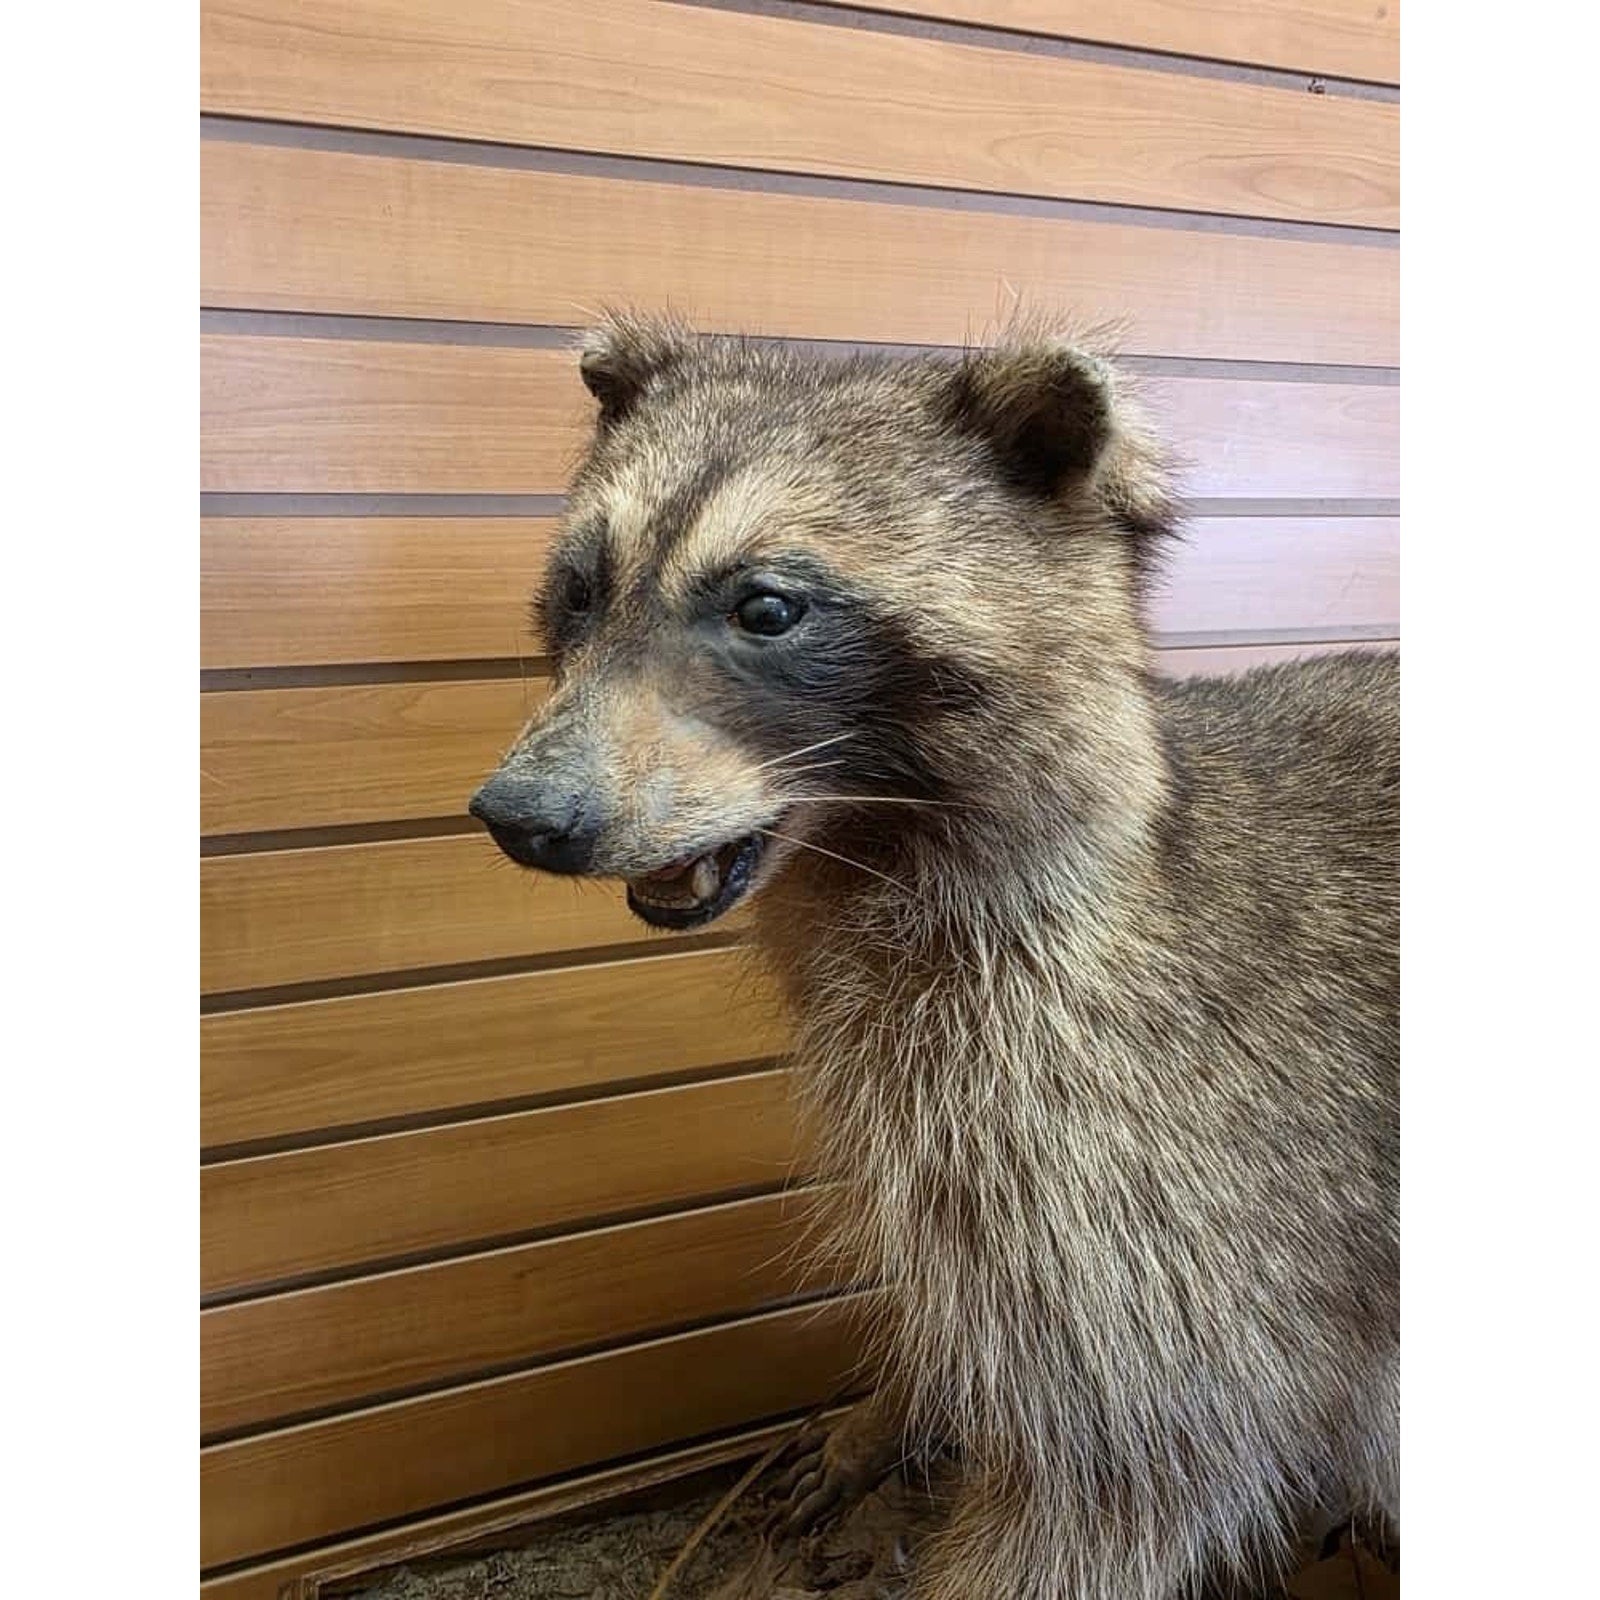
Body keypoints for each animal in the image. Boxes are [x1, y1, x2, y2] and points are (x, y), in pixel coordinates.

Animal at [469, 315, 1398, 1600]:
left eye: (767, 609)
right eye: (579, 590)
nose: (517, 815)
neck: (864, 855)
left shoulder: (1154, 1171)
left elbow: (1136, 1474)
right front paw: (898, 1406)